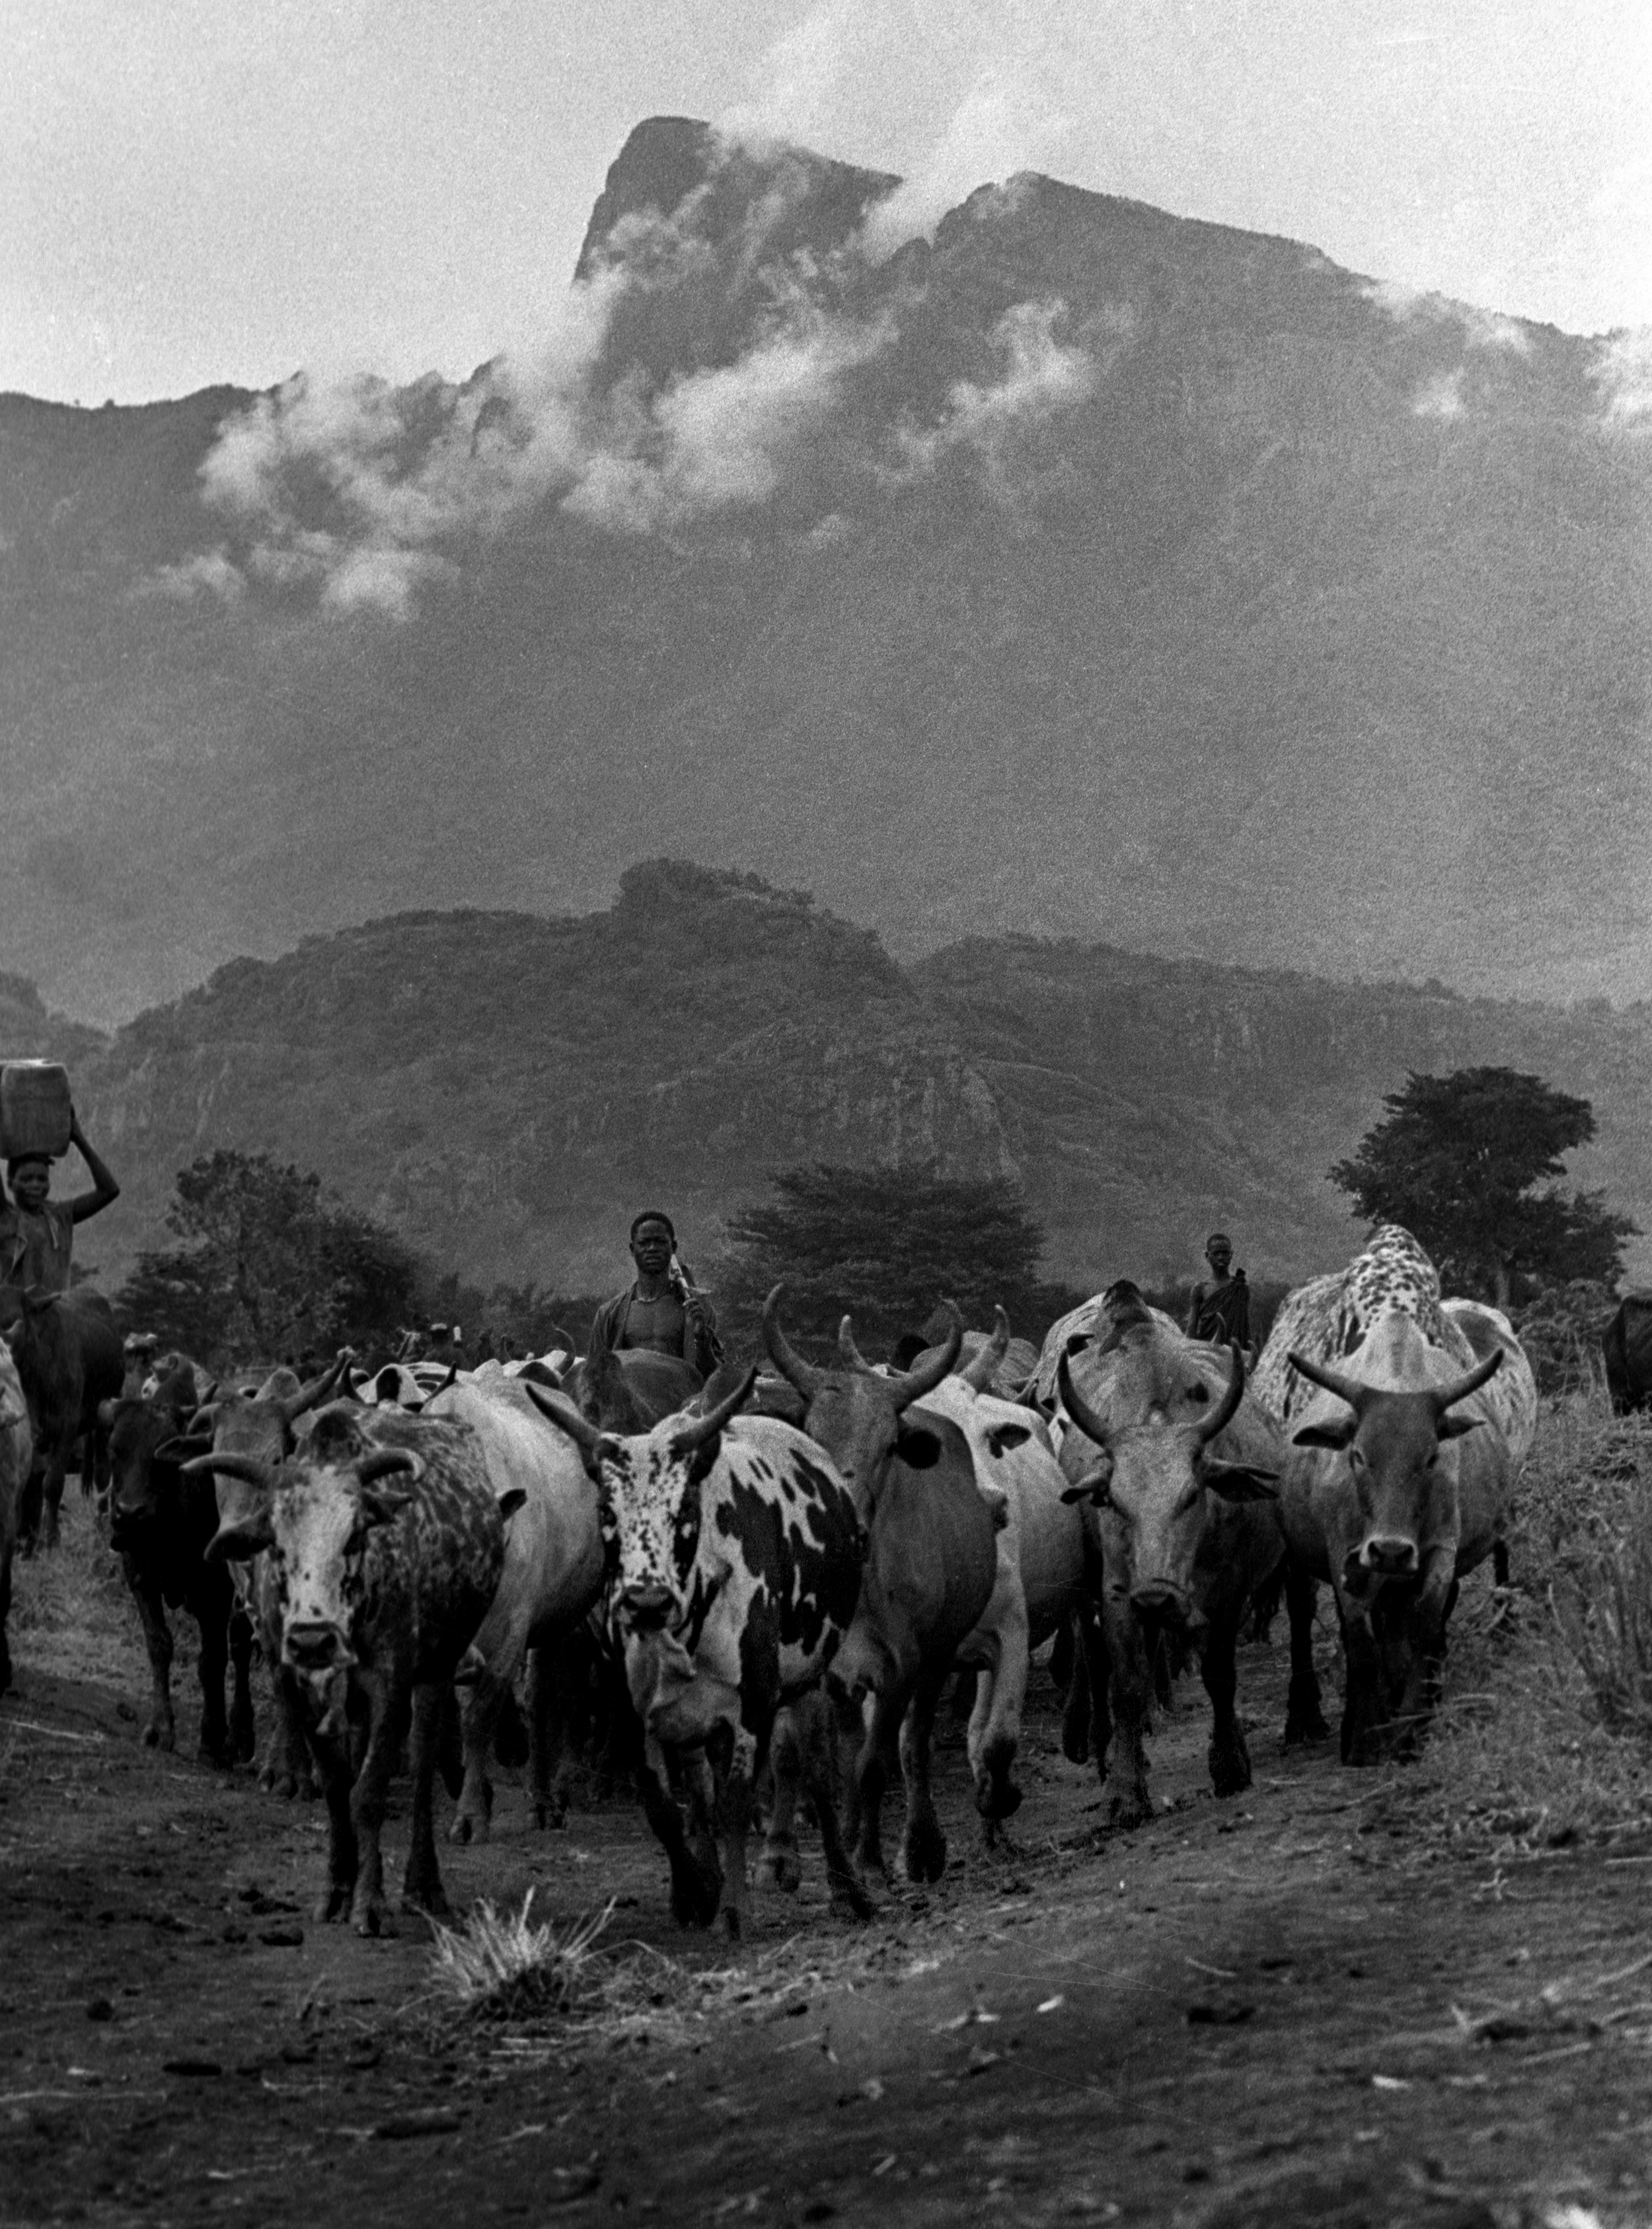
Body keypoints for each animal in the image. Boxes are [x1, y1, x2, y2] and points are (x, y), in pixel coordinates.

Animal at [1257, 1230, 1542, 1765]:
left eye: (1432, 1458)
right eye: (1356, 1456)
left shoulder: (1439, 1546)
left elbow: (1427, 1621)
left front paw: (1415, 1715)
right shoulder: (1344, 1552)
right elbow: (1357, 1634)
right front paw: (1364, 1727)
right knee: (1304, 1612)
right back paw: (1306, 1716)